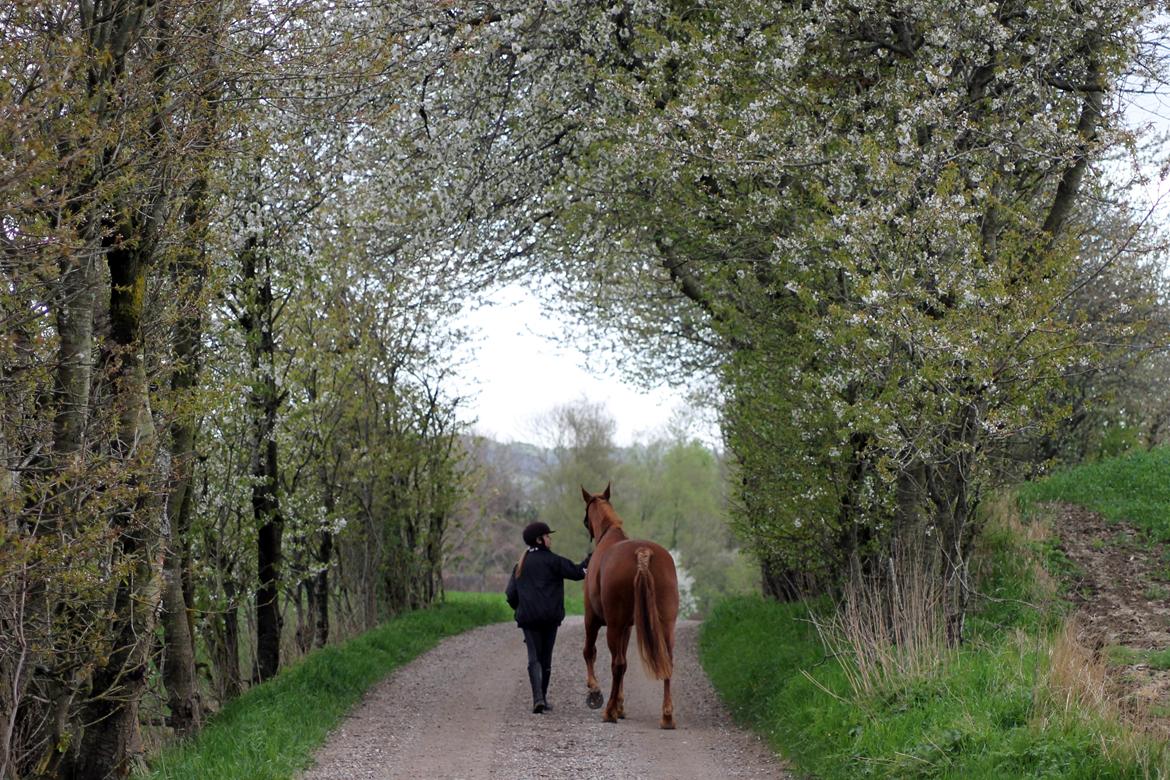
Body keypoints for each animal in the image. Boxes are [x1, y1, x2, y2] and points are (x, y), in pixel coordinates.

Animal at [580, 481, 683, 734]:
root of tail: (642, 553)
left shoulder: (593, 619)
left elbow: (590, 652)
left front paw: (596, 691)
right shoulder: (627, 627)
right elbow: (625, 663)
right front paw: (620, 704)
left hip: (612, 625)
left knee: (616, 664)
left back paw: (608, 712)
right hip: (665, 625)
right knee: (667, 661)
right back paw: (667, 716)